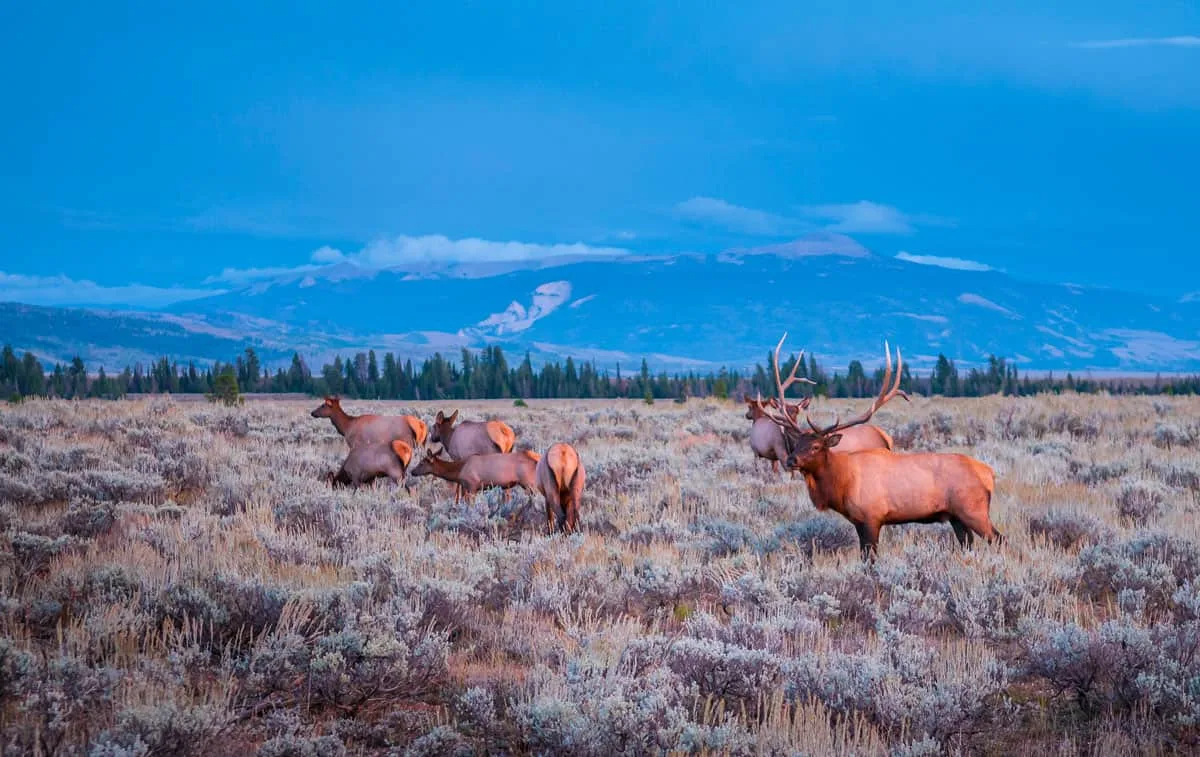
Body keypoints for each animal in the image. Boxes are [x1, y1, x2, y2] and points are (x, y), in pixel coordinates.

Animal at [408, 451, 540, 503]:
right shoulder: (468, 488)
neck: (459, 471)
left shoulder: (472, 486)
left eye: (421, 463)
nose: (412, 471)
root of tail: (536, 460)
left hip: (529, 483)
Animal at [758, 333, 1003, 559]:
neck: (841, 483)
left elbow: (870, 559)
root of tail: (989, 473)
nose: (791, 460)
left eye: (817, 446)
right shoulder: (858, 522)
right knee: (968, 544)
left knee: (998, 538)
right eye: (797, 443)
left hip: (974, 510)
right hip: (956, 517)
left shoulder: (871, 518)